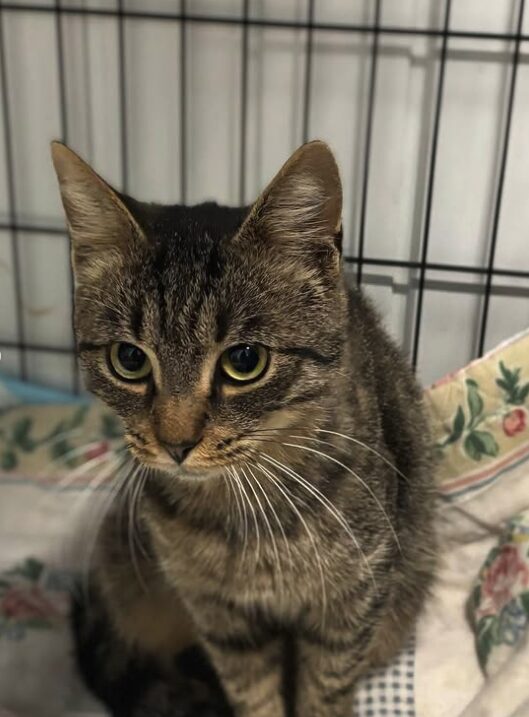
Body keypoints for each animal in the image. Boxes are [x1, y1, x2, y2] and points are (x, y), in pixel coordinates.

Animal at [50, 141, 438, 716]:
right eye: (129, 359)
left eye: (245, 361)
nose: (176, 443)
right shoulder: (223, 623)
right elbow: (254, 696)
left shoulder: (349, 609)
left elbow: (323, 696)